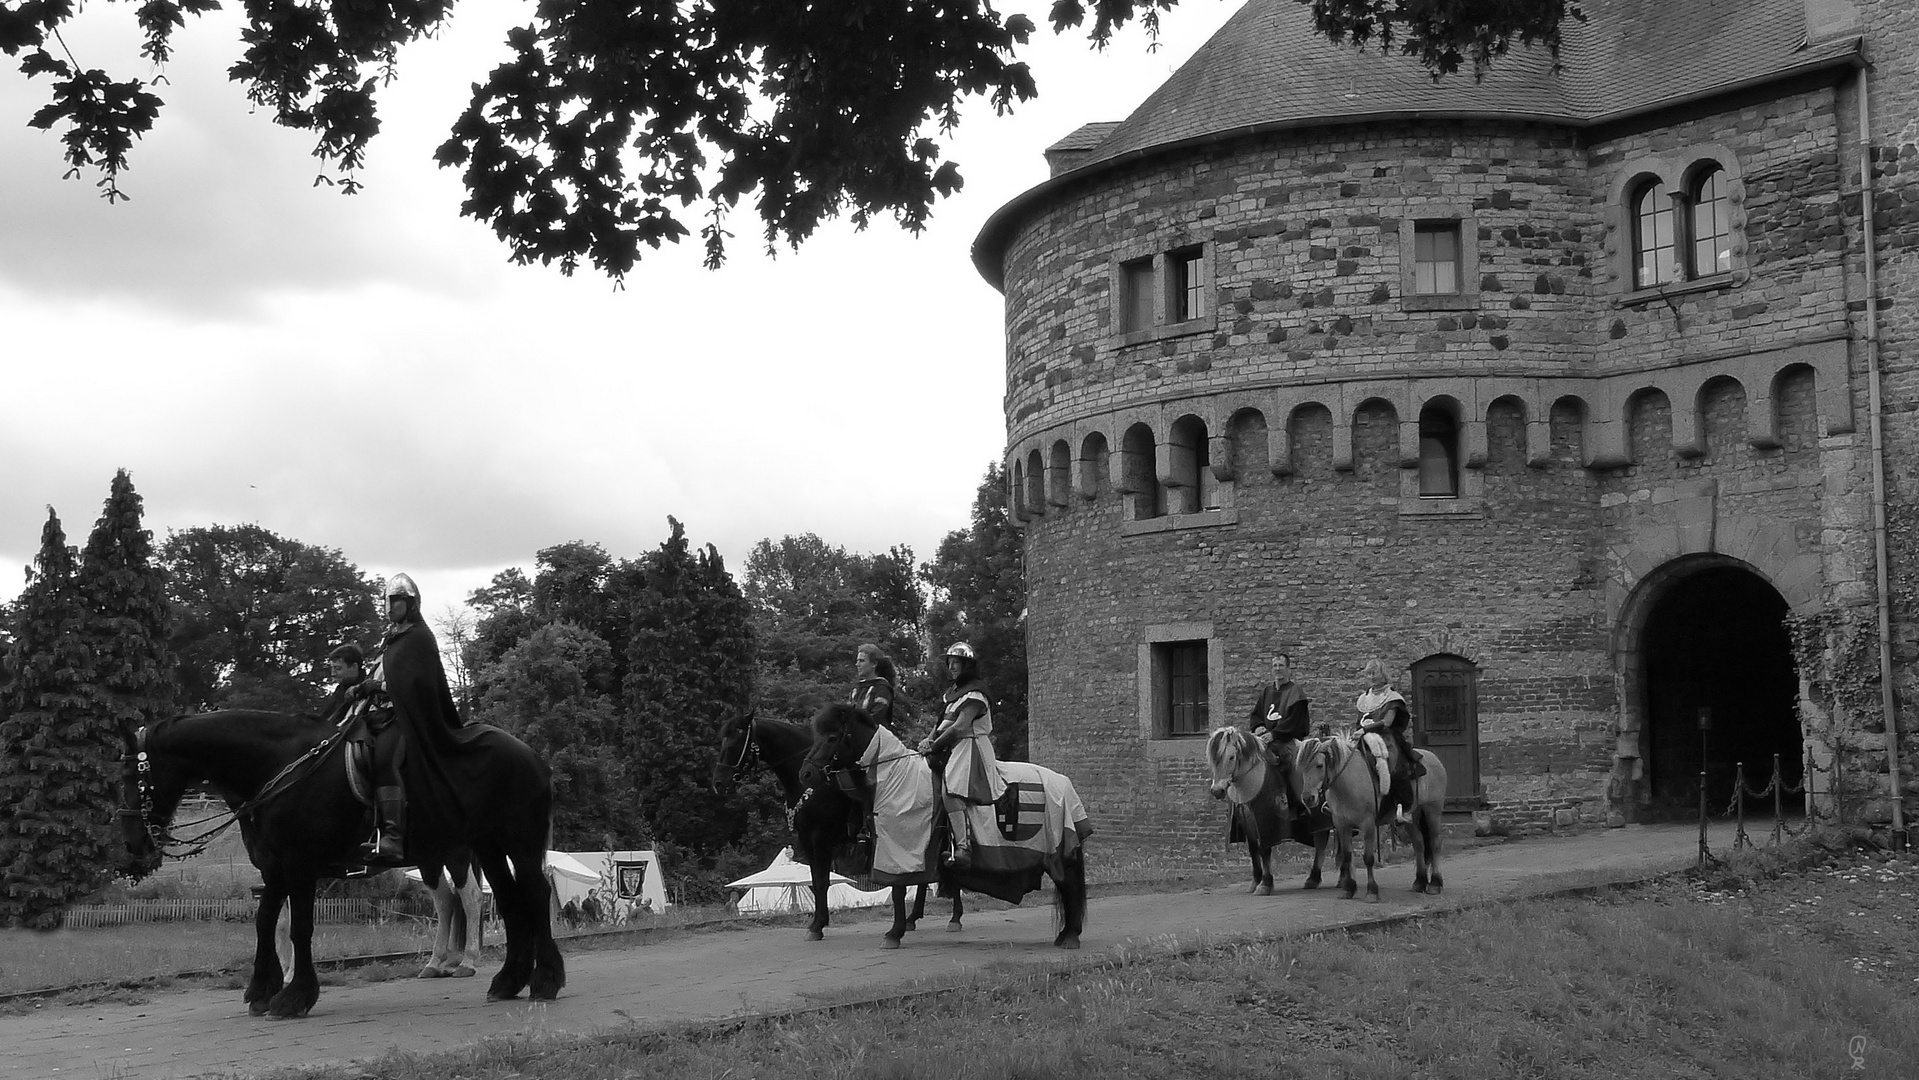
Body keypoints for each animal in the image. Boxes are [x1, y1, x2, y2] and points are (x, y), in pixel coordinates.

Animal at [120, 713, 560, 1020]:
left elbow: (298, 928)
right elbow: (265, 923)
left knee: (514, 896)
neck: (278, 767)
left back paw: (533, 977)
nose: (133, 843)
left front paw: (295, 995)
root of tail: (528, 752)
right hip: (480, 848)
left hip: (503, 844)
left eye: (131, 775)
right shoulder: (273, 869)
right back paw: (496, 978)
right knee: (495, 899)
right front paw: (262, 989)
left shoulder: (298, 866)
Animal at [710, 709, 947, 939]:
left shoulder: (820, 839)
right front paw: (817, 922)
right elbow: (816, 880)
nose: (718, 783)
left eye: (734, 743)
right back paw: (914, 919)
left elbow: (823, 882)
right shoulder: (806, 840)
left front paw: (817, 926)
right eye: (722, 741)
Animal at [798, 705, 1097, 951]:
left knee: (1068, 884)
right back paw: (1065, 935)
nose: (806, 774)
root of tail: (1063, 782)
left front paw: (893, 933)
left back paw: (1071, 936)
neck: (894, 776)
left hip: (1058, 848)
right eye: (816, 735)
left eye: (832, 737)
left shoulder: (901, 844)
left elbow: (898, 890)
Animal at [1205, 725, 1327, 897]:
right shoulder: (1246, 822)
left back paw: (1314, 879)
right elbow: (1253, 850)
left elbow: (1264, 850)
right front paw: (1255, 881)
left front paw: (1265, 884)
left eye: (1231, 757)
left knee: (1322, 842)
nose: (1217, 791)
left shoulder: (1264, 821)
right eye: (1213, 759)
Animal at [1297, 736, 1443, 905]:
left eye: (1319, 765)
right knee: (1419, 844)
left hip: (1433, 811)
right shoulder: (1342, 825)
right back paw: (1419, 882)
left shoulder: (1367, 824)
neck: (1349, 783)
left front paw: (1372, 891)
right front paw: (1349, 889)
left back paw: (1435, 884)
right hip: (1412, 817)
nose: (1308, 798)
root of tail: (1433, 757)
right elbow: (1347, 856)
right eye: (1301, 767)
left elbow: (1368, 858)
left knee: (1435, 843)